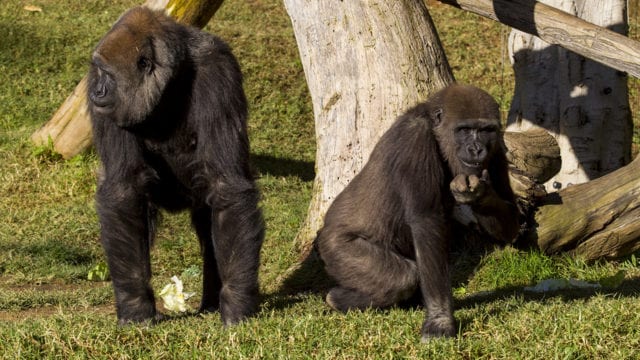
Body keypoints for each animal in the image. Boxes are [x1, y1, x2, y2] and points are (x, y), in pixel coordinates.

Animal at [87, 6, 262, 326]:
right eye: (99, 72)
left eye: (108, 75)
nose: (96, 91)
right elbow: (124, 189)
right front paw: (135, 306)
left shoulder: (218, 72)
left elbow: (226, 185)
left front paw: (237, 302)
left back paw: (213, 301)